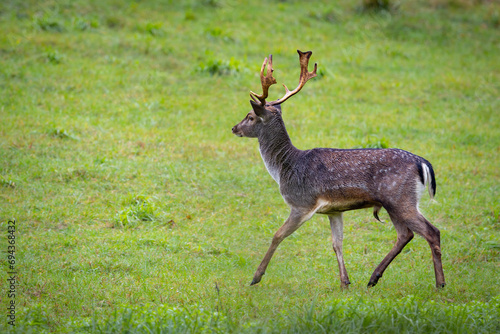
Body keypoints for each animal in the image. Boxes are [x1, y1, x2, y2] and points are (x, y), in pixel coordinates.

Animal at [231, 50, 446, 290]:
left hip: (400, 198)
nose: (234, 128)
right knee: (405, 234)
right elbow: (337, 243)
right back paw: (373, 278)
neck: (285, 168)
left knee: (431, 232)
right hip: (396, 202)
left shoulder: (302, 203)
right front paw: (345, 282)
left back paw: (440, 283)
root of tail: (422, 163)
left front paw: (255, 277)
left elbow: (277, 235)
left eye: (250, 116)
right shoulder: (334, 210)